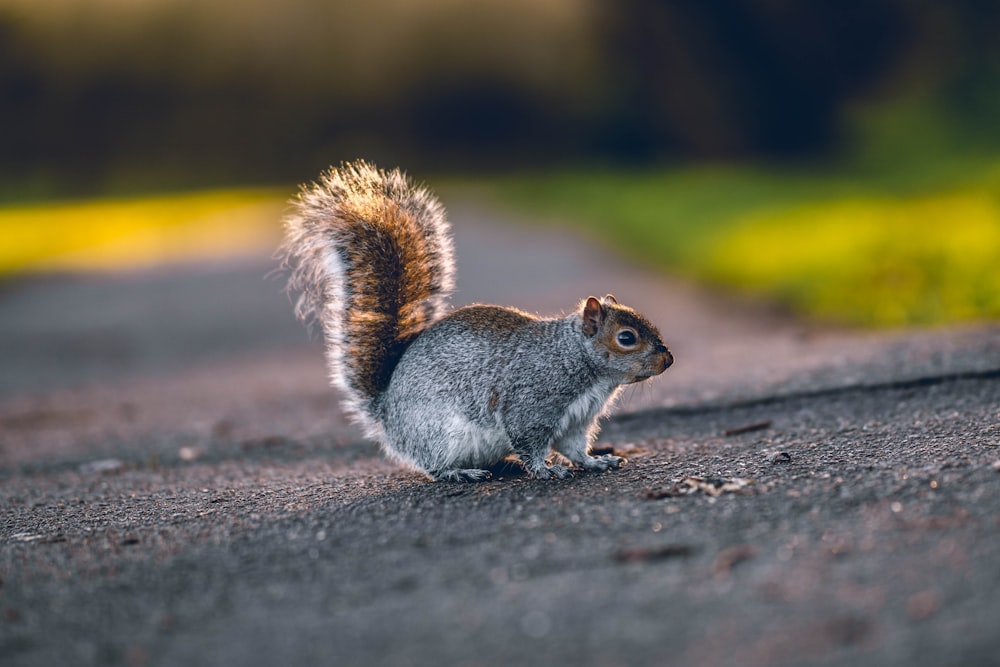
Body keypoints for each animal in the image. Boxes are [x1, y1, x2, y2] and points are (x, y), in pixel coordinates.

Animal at [278, 162, 676, 486]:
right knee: (433, 467)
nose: (668, 359)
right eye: (626, 338)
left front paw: (595, 462)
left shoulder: (576, 420)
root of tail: (386, 410)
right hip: (439, 434)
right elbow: (530, 441)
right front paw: (546, 470)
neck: (574, 359)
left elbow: (575, 447)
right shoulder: (531, 403)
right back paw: (461, 472)